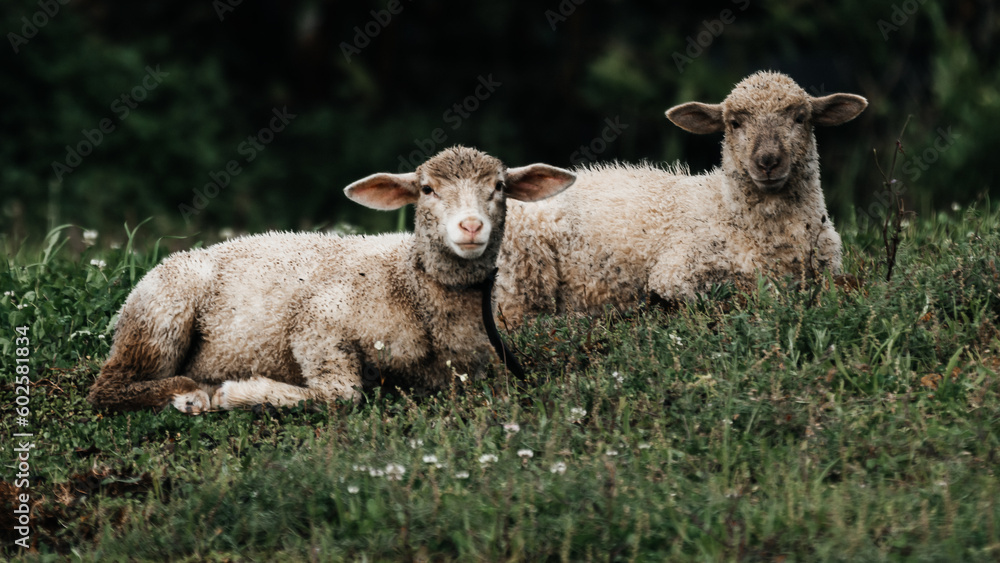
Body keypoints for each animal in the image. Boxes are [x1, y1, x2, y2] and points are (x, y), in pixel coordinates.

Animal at [87, 146, 576, 413]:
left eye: (499, 187)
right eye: (427, 189)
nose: (471, 227)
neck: (408, 284)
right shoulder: (318, 321)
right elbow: (342, 394)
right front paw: (241, 393)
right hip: (161, 316)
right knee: (108, 387)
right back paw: (190, 394)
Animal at [495, 71, 867, 325]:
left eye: (801, 117)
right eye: (734, 123)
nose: (767, 162)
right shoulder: (677, 271)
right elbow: (747, 290)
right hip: (521, 275)